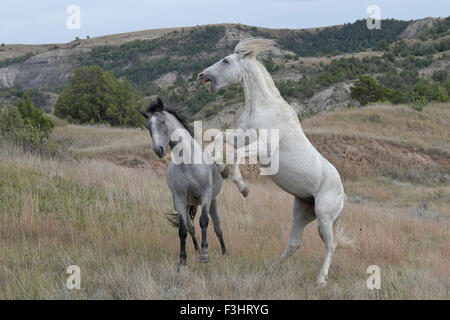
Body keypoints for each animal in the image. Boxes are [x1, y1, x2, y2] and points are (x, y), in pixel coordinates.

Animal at [140, 97, 229, 268]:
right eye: (148, 126)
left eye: (162, 122)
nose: (158, 150)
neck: (188, 163)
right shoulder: (180, 200)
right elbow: (182, 230)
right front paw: (182, 260)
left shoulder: (206, 194)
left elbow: (204, 222)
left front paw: (205, 256)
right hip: (188, 204)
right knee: (191, 227)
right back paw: (195, 249)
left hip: (213, 201)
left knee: (218, 227)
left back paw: (224, 252)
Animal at [198, 38, 356, 284]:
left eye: (226, 61)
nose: (202, 75)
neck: (263, 107)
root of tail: (343, 194)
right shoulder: (242, 137)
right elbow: (217, 140)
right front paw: (221, 169)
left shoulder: (262, 147)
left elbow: (234, 155)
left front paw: (243, 187)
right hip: (303, 213)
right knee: (294, 243)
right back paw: (273, 267)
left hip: (324, 216)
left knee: (331, 245)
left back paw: (320, 280)